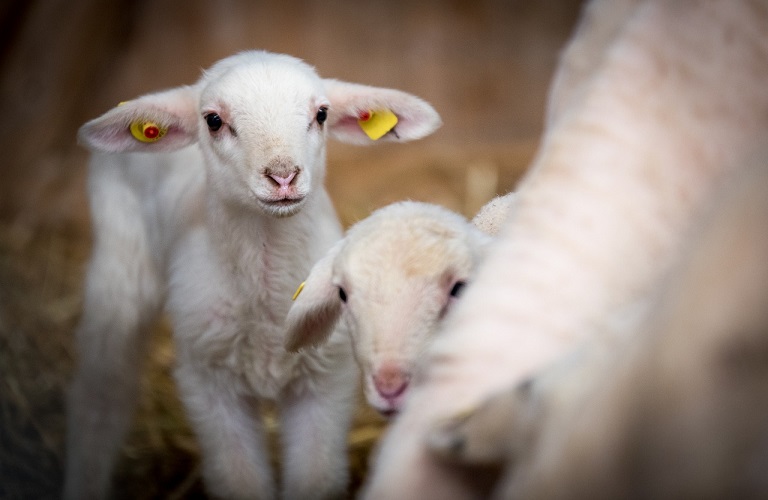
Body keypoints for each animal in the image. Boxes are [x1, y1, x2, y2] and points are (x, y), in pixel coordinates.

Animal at [63, 50, 441, 500]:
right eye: (213, 120)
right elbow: (238, 480)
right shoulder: (209, 383)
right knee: (101, 395)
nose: (283, 175)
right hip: (119, 261)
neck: (267, 295)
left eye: (322, 114)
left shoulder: (326, 380)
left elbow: (316, 479)